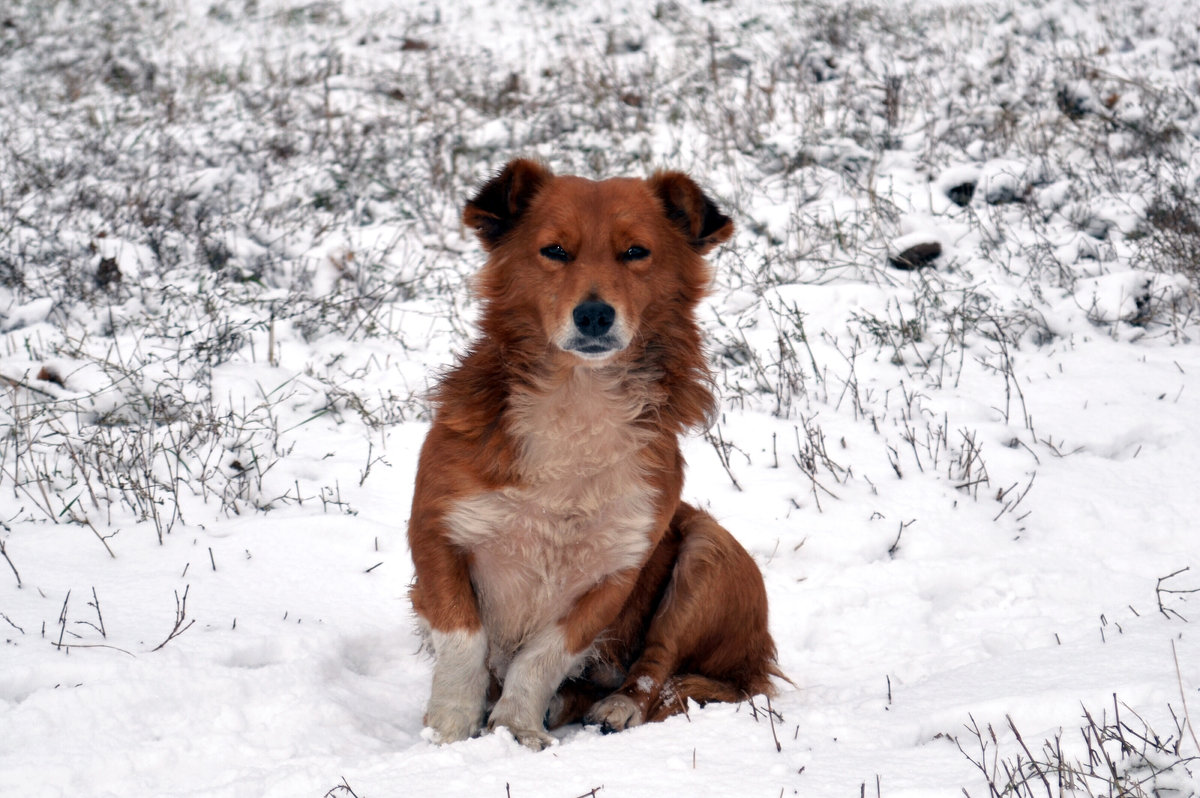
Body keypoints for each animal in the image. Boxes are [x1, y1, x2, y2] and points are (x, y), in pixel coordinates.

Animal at [403, 157, 777, 748]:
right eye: (555, 250)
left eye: (636, 252)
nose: (595, 315)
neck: (579, 398)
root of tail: (757, 655)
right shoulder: (437, 535)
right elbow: (465, 641)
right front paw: (450, 729)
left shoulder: (614, 572)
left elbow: (541, 657)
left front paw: (515, 729)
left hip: (708, 551)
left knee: (658, 668)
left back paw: (618, 706)